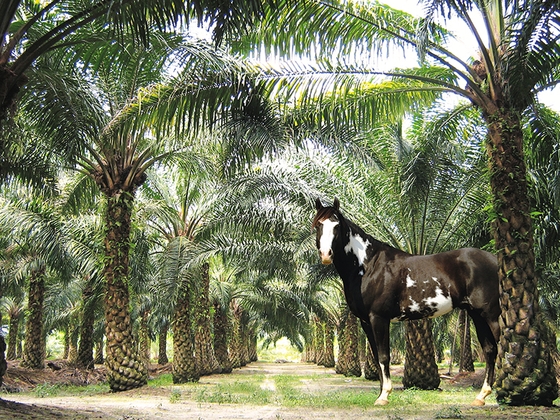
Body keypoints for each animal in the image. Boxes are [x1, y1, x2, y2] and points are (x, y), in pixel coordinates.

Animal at [312, 199, 500, 406]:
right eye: (318, 225)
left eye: (337, 226)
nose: (326, 255)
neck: (368, 265)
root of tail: (496, 260)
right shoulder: (365, 321)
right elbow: (377, 356)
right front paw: (381, 394)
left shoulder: (379, 318)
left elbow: (384, 356)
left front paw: (384, 395)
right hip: (477, 315)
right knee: (490, 350)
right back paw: (481, 396)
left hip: (492, 315)